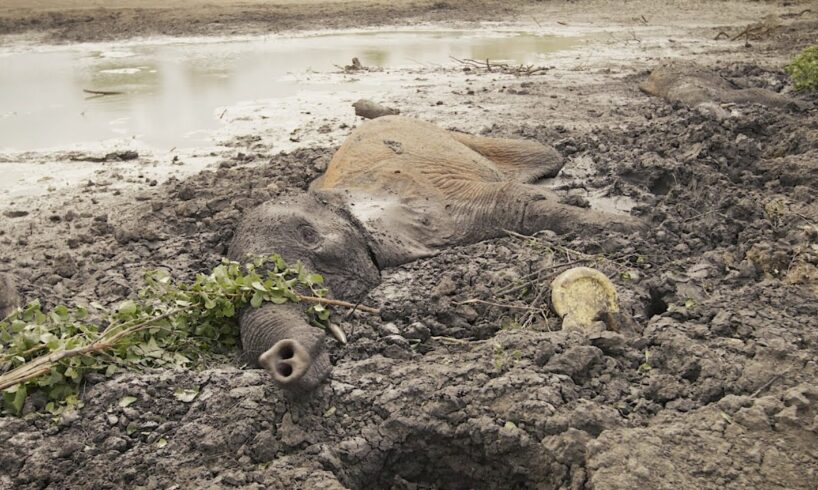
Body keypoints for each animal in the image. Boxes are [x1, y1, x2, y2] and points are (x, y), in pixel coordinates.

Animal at [225, 115, 644, 394]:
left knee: (545, 156)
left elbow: (514, 206)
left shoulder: (430, 202)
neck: (338, 201)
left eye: (309, 241)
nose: (282, 357)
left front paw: (635, 228)